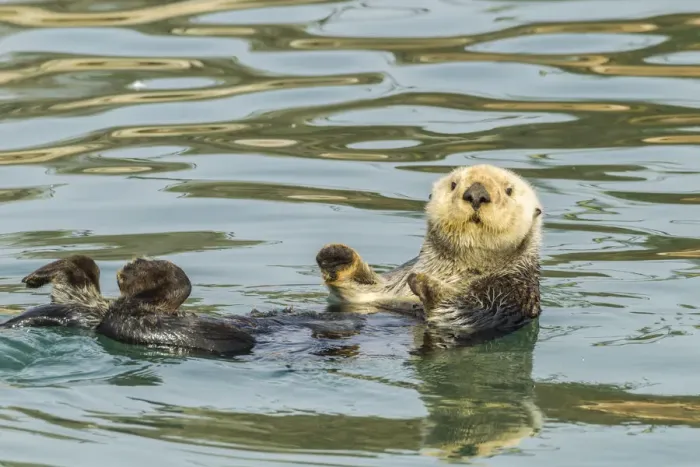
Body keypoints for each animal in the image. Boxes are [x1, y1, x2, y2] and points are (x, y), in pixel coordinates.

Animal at [316, 164, 543, 339]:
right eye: (453, 184)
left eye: (509, 190)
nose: (477, 194)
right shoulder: (391, 285)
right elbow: (360, 291)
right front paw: (337, 257)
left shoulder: (510, 296)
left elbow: (463, 312)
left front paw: (426, 284)